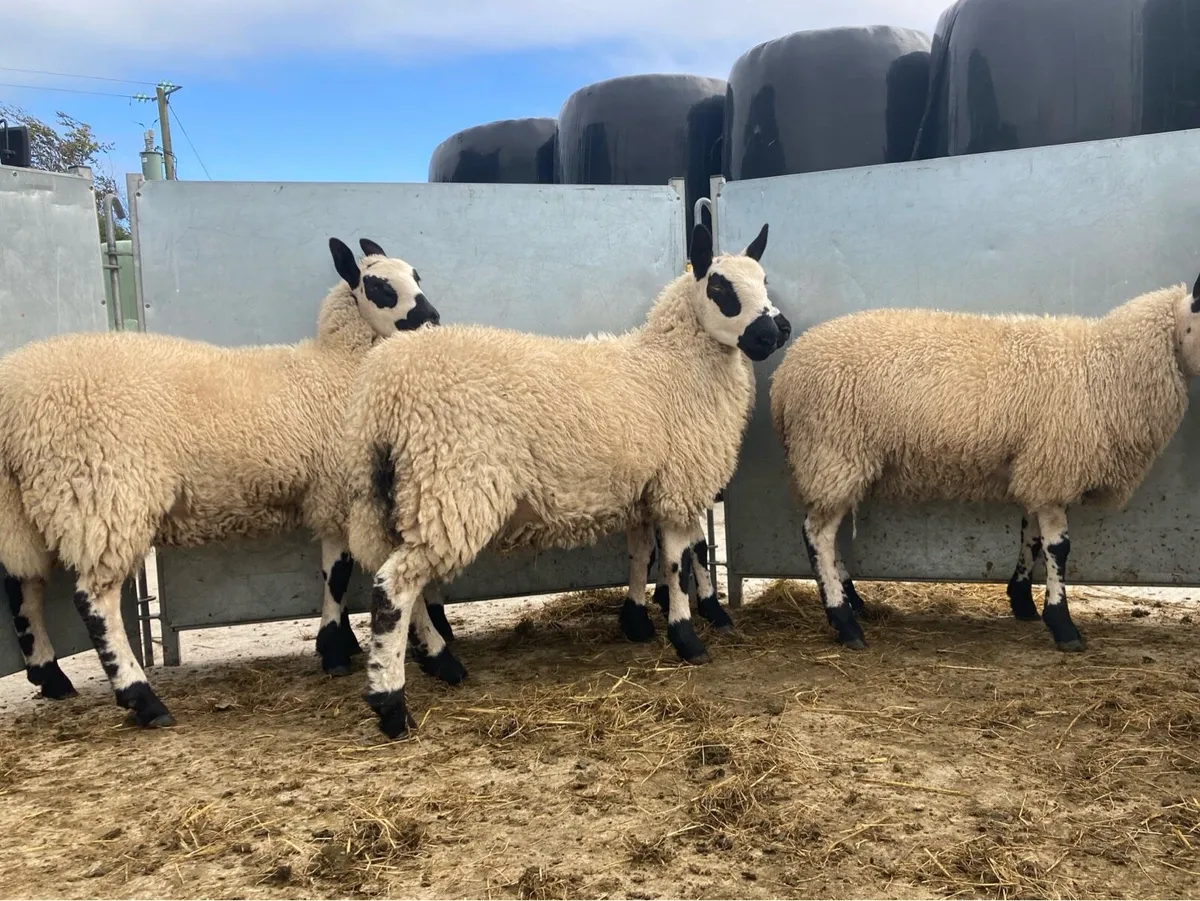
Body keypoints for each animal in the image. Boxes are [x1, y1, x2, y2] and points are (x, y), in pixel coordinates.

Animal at [0, 237, 438, 728]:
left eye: (416, 275)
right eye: (379, 286)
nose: (432, 318)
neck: (337, 366)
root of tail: (11, 403)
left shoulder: (323, 493)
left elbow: (330, 572)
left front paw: (341, 643)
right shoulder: (336, 487)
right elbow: (338, 573)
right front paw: (334, 651)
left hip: (26, 501)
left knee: (20, 583)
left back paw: (49, 675)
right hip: (104, 491)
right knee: (94, 600)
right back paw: (142, 698)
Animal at [338, 221, 790, 738]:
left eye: (764, 280)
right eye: (719, 288)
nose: (777, 330)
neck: (671, 365)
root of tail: (381, 393)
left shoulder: (641, 485)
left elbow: (641, 553)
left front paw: (636, 621)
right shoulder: (679, 479)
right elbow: (678, 560)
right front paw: (687, 637)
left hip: (402, 494)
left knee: (399, 579)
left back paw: (439, 661)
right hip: (455, 484)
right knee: (394, 587)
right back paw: (392, 703)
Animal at [769, 274, 1200, 654]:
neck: (1103, 369)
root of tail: (784, 377)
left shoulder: (1033, 468)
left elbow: (1031, 537)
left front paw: (1022, 600)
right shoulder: (1053, 469)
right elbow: (1059, 548)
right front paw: (1062, 625)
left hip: (836, 462)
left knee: (828, 532)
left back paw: (851, 598)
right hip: (832, 449)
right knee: (818, 536)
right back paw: (844, 621)